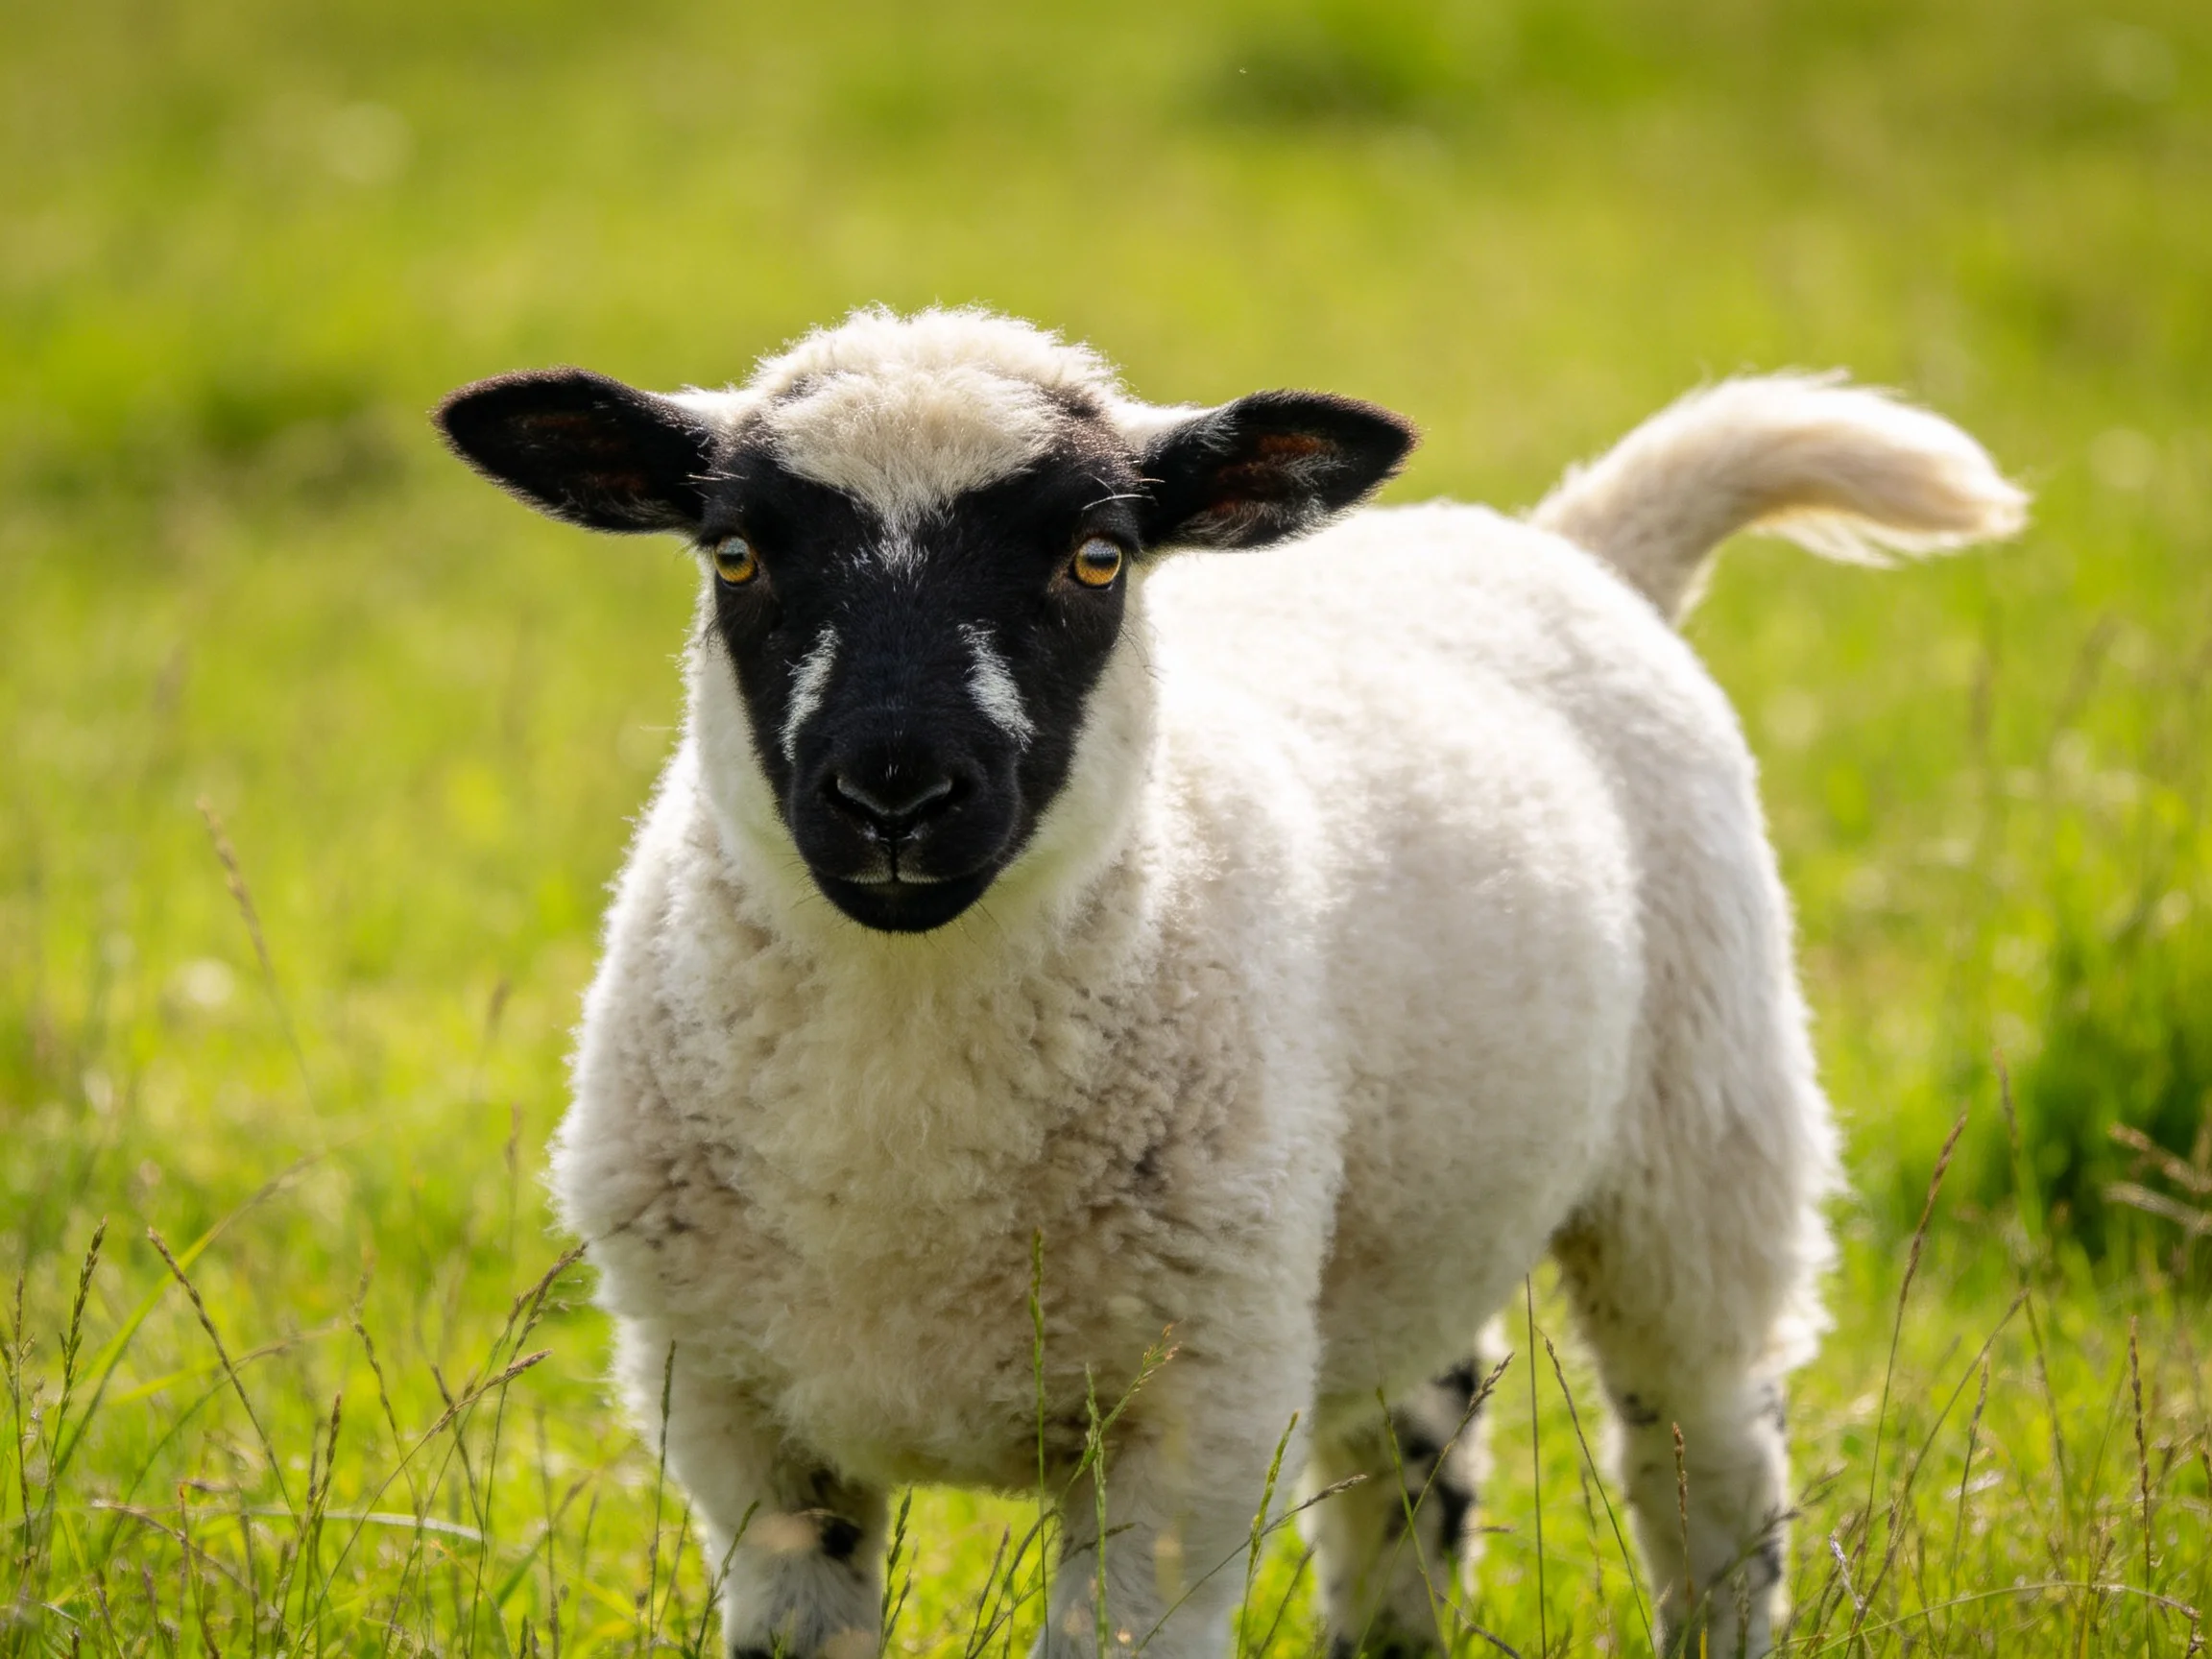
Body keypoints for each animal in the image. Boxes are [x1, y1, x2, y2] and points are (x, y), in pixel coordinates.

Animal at [434, 307, 2025, 1659]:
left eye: (1097, 558)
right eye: (736, 556)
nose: (896, 788)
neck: (906, 1133)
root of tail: (1566, 544)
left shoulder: (1190, 1421)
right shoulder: (737, 1425)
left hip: (1700, 1143)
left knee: (1707, 1469)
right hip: (1382, 1228)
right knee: (1414, 1458)